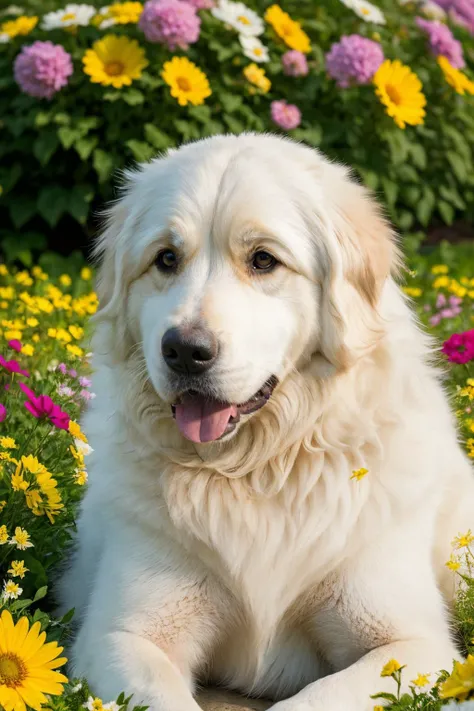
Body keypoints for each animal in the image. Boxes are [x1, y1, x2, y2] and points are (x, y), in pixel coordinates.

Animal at [58, 135, 474, 711]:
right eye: (166, 258)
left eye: (263, 260)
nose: (184, 351)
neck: (257, 470)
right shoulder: (121, 635)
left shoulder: (413, 644)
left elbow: (315, 699)